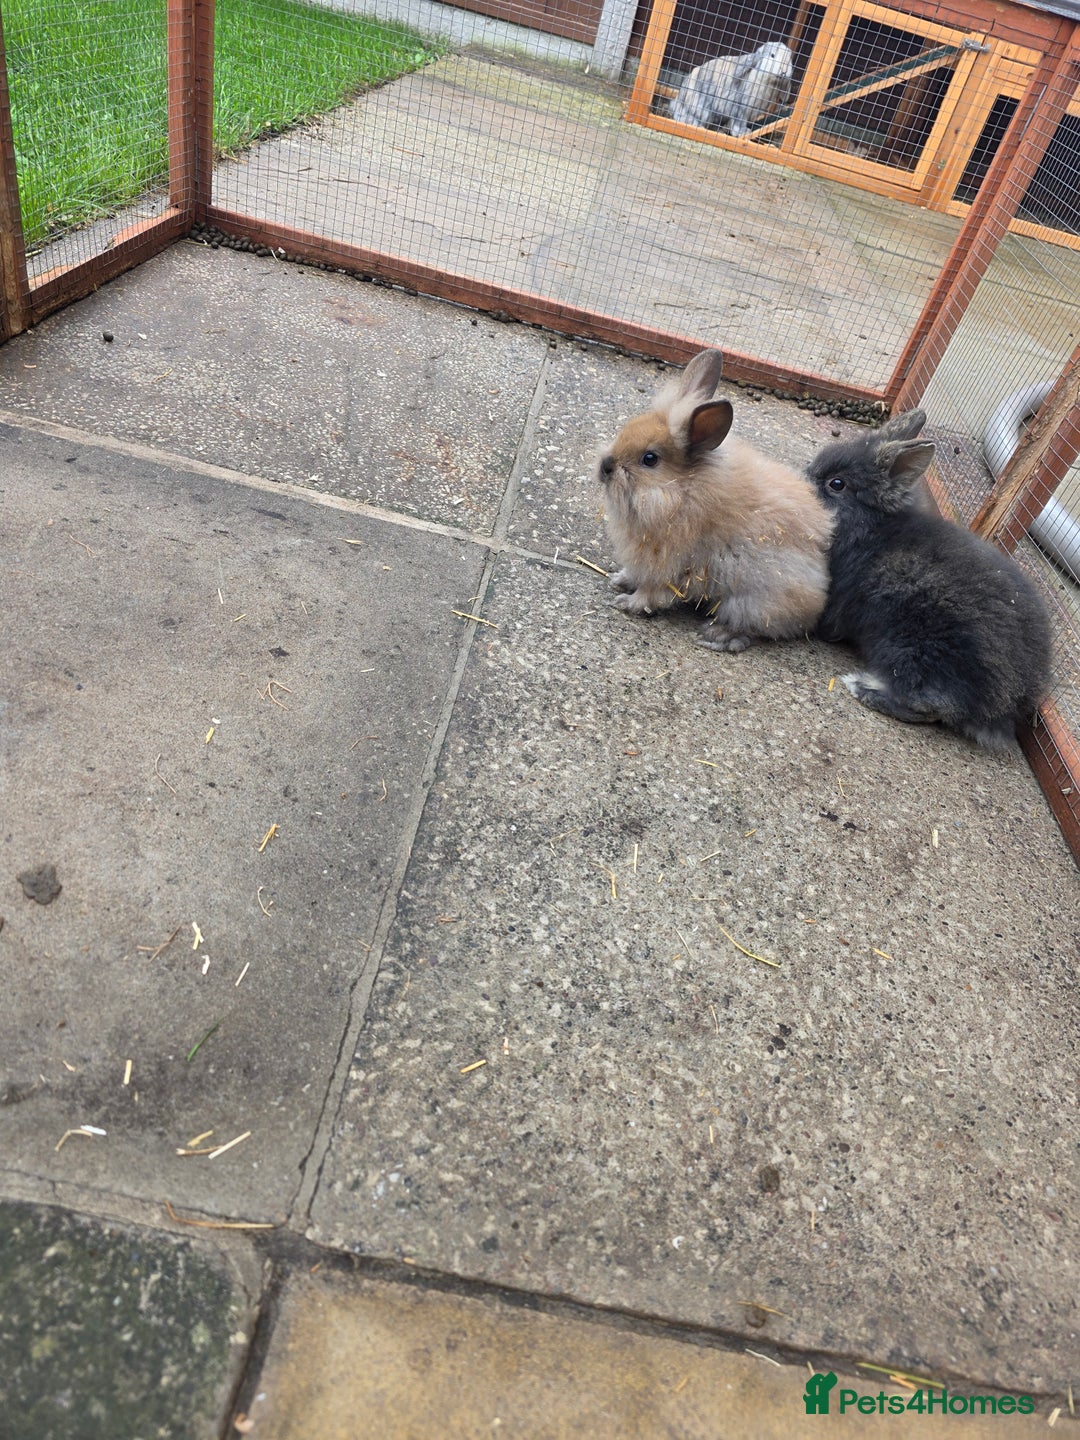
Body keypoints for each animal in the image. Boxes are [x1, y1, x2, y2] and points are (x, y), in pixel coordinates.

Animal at [597, 349, 834, 653]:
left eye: (649, 459)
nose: (605, 467)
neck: (680, 491)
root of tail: (817, 599)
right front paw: (619, 579)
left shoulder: (667, 568)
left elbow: (652, 594)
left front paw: (627, 603)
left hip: (748, 602)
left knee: (752, 629)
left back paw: (717, 636)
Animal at [807, 410, 1053, 748]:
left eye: (837, 484)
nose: (802, 479)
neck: (872, 528)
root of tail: (1012, 703)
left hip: (914, 650)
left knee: (930, 708)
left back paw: (863, 688)